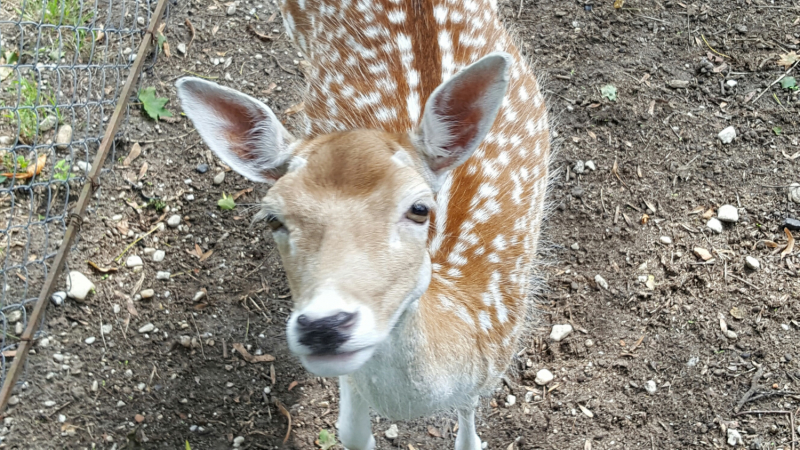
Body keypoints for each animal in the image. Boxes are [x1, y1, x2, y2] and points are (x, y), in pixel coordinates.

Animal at [176, 0, 552, 446]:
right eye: (272, 218)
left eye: (419, 208)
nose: (324, 327)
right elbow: (353, 433)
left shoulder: (494, 357)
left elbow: (469, 434)